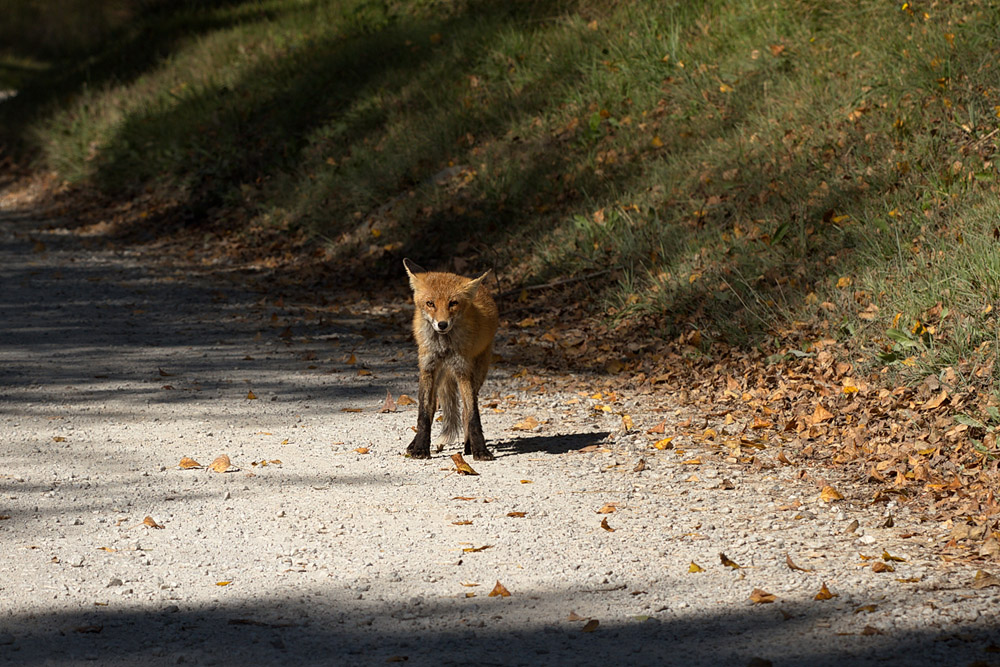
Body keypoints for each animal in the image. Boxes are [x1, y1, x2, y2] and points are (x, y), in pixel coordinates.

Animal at [402, 258, 500, 462]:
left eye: (453, 303)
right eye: (430, 303)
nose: (442, 324)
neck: (444, 347)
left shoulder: (463, 370)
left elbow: (473, 416)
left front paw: (480, 450)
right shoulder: (427, 367)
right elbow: (424, 414)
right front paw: (420, 448)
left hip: (478, 372)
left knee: (464, 412)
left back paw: (469, 446)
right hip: (437, 376)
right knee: (432, 407)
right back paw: (414, 444)